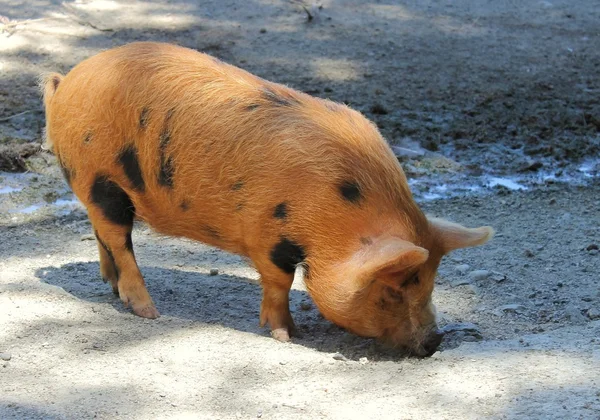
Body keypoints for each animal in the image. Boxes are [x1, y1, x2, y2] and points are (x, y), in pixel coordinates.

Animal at [41, 42, 492, 356]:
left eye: (430, 281)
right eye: (394, 289)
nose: (435, 343)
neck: (341, 213)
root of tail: (66, 81)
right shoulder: (268, 235)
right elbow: (280, 282)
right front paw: (287, 336)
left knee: (103, 235)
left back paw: (111, 286)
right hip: (101, 180)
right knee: (119, 239)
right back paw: (149, 311)